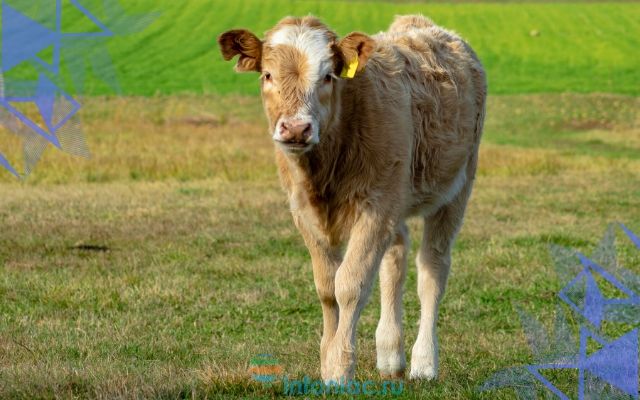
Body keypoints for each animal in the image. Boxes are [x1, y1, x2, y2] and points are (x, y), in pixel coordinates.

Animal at [218, 14, 488, 382]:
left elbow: (350, 284)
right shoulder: (304, 212)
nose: (296, 129)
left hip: (456, 187)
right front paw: (326, 359)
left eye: (327, 76)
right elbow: (326, 287)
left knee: (432, 270)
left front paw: (339, 368)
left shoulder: (376, 208)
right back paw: (390, 354)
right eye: (267, 75)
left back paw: (424, 362)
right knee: (395, 262)